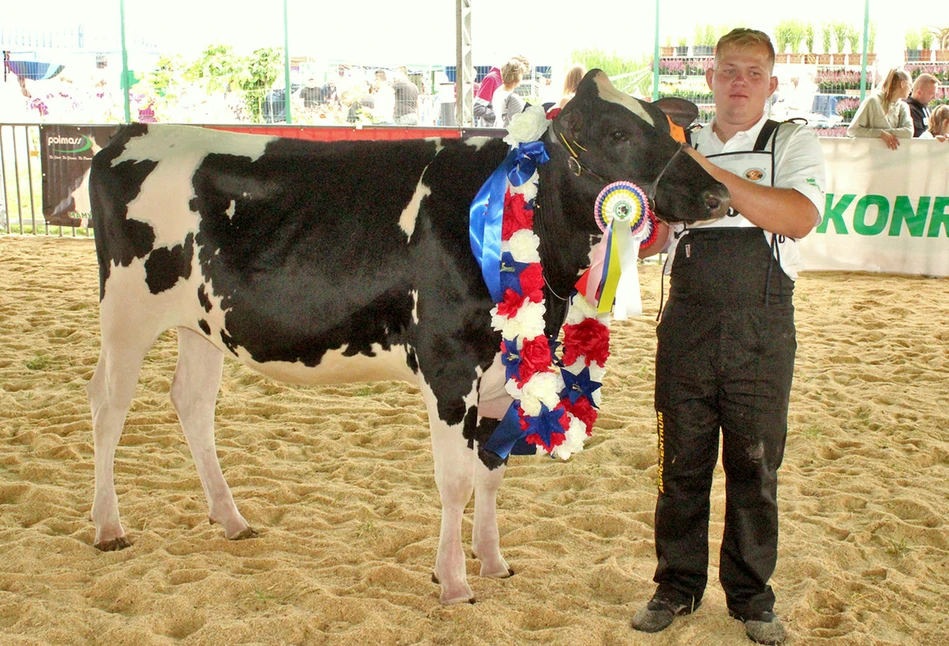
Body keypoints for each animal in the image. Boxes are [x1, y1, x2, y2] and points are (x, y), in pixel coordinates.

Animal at [89, 72, 724, 608]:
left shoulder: (500, 372)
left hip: (200, 323)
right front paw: (454, 582)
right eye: (618, 133)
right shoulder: (450, 367)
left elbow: (492, 472)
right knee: (108, 407)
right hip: (126, 312)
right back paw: (108, 526)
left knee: (192, 403)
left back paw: (231, 519)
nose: (717, 194)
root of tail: (129, 135)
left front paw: (493, 560)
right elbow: (456, 481)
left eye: (662, 124)